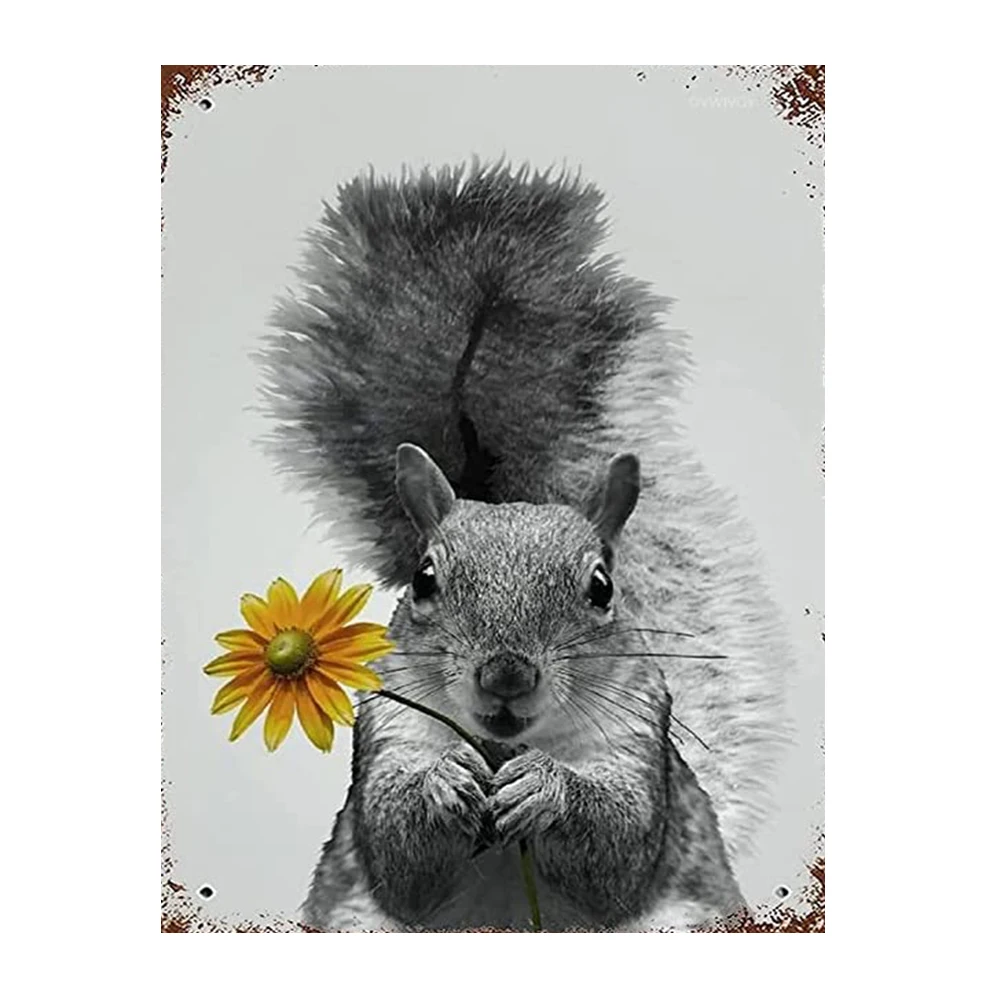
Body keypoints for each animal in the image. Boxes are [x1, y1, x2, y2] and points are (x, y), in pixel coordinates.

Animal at [259, 161, 791, 931]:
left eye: (602, 587)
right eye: (423, 579)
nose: (506, 676)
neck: (503, 745)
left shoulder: (637, 737)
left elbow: (616, 851)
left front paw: (546, 788)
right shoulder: (389, 727)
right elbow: (399, 857)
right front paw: (445, 781)